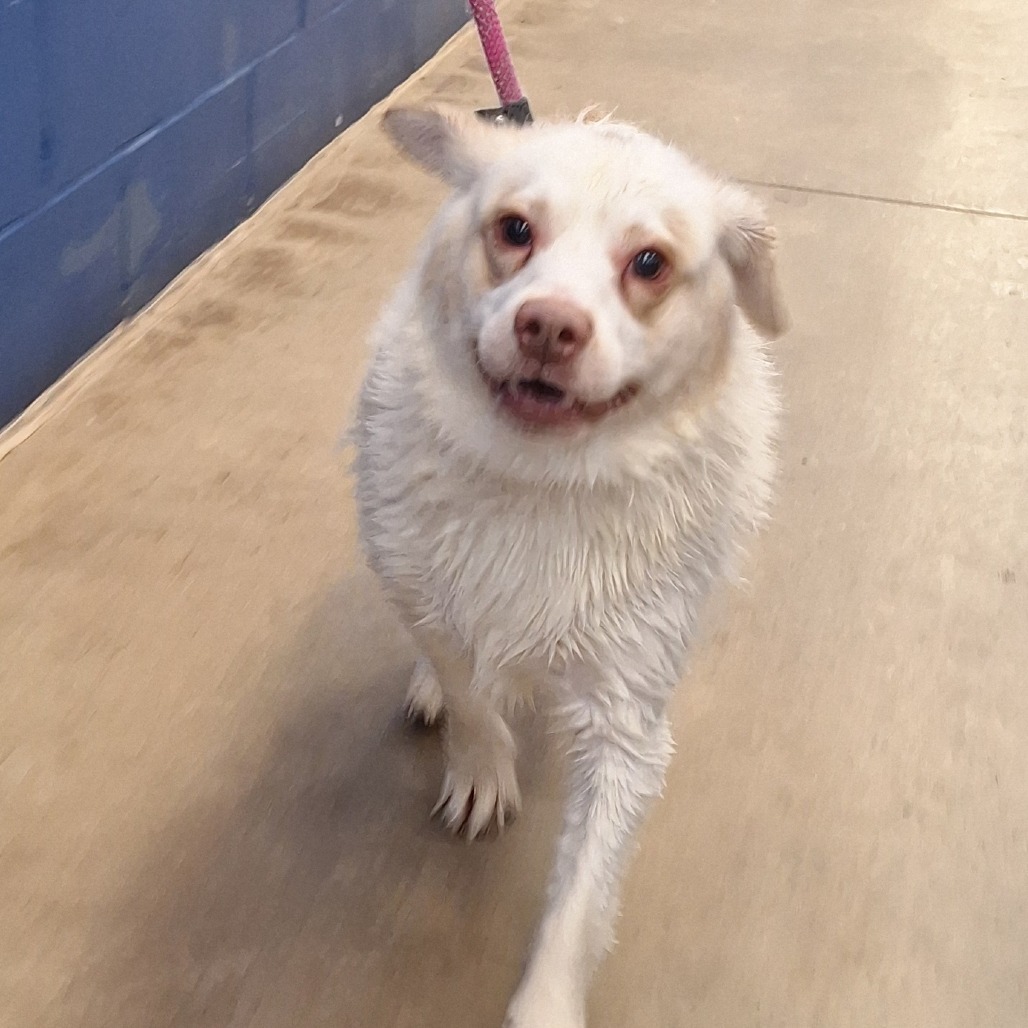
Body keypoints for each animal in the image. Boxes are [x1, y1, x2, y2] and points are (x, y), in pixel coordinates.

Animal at [349, 106, 781, 1028]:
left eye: (648, 262)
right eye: (516, 230)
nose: (548, 325)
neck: (543, 482)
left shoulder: (627, 727)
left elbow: (579, 906)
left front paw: (545, 997)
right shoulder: (426, 589)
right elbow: (467, 685)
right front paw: (481, 764)